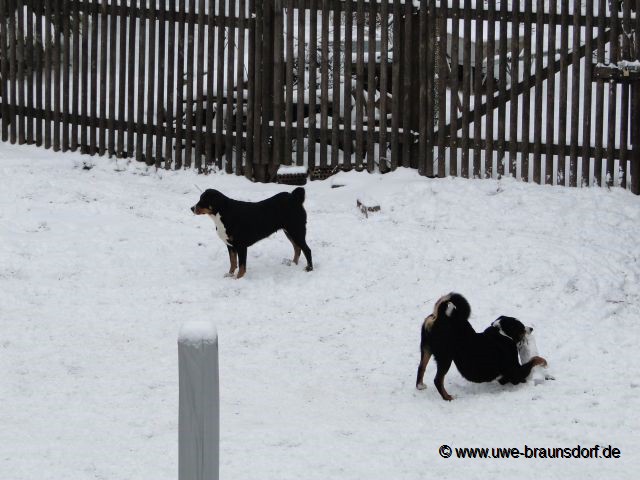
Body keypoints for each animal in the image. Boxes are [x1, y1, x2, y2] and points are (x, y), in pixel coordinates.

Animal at [416, 292, 552, 402]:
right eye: (521, 327)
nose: (531, 328)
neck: (501, 334)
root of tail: (440, 316)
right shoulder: (515, 371)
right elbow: (534, 360)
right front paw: (544, 363)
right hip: (445, 357)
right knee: (438, 380)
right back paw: (448, 397)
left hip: (426, 349)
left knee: (421, 367)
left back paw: (420, 386)